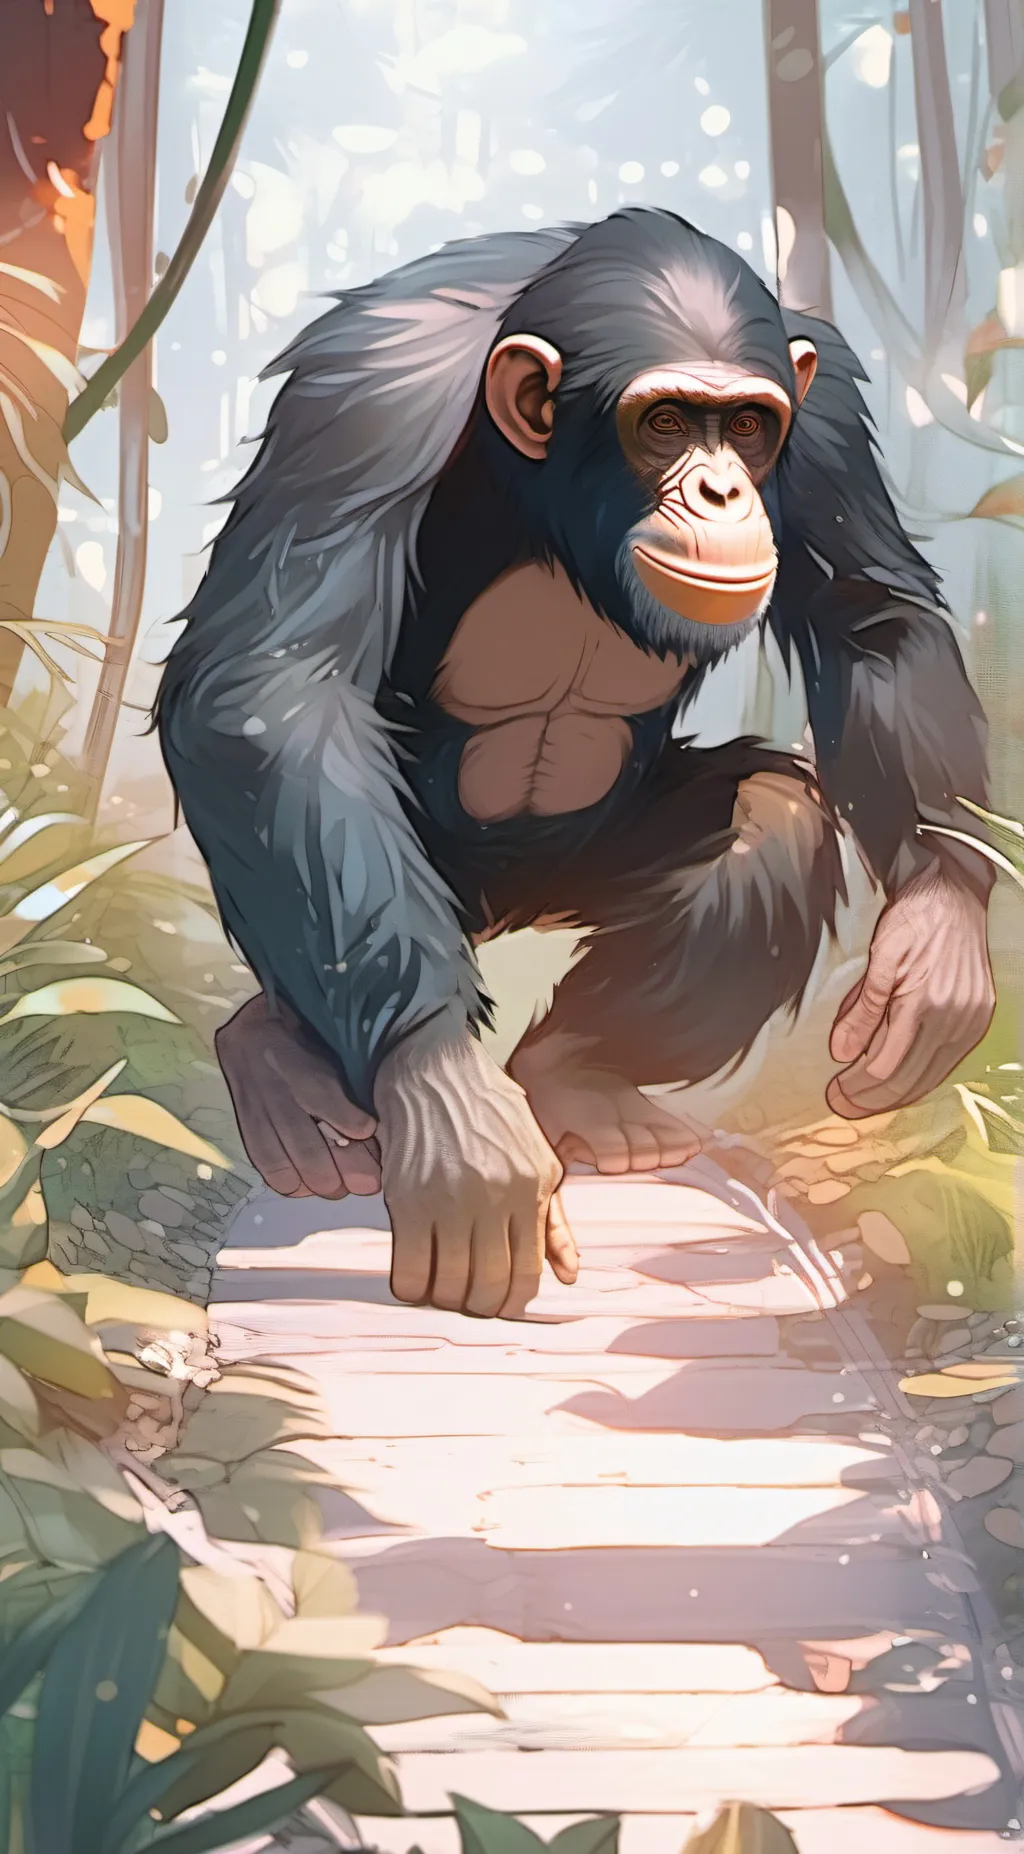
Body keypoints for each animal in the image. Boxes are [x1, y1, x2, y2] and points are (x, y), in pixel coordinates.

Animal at [156, 208, 995, 1320]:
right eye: (667, 424)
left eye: (748, 426)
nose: (723, 490)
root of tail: (502, 909)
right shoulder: (369, 400)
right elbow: (275, 680)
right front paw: (447, 1098)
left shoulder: (823, 417)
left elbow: (870, 612)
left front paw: (935, 935)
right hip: (427, 886)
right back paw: (284, 1069)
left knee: (769, 818)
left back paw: (577, 1084)